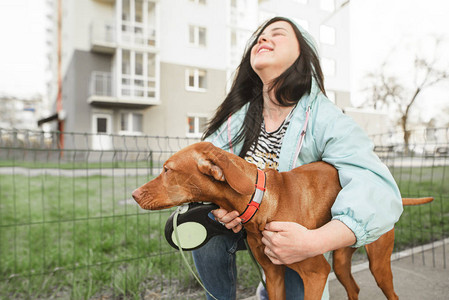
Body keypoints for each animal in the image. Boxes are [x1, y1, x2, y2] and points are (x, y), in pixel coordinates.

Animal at [132, 141, 430, 300]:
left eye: (167, 169)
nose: (134, 194)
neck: (262, 201)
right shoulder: (273, 275)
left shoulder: (316, 274)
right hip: (342, 262)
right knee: (354, 287)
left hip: (378, 263)